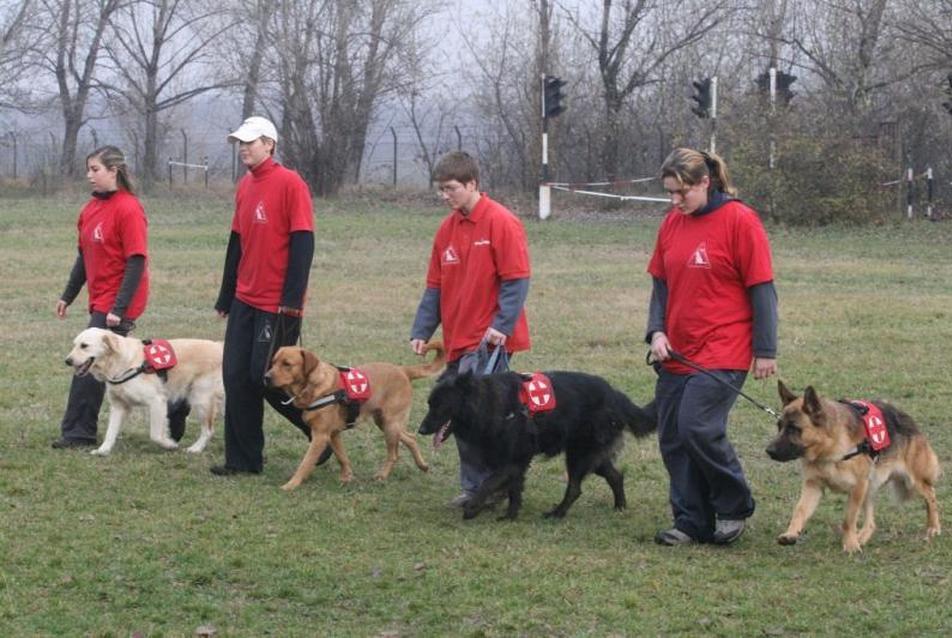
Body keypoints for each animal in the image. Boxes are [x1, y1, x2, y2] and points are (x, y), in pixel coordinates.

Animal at [65, 330, 225, 456]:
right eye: (74, 344)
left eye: (84, 345)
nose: (67, 361)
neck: (123, 364)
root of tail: (220, 346)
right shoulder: (118, 406)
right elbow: (110, 432)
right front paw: (103, 450)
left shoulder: (157, 401)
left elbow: (155, 435)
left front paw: (169, 444)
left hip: (201, 400)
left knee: (208, 430)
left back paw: (196, 448)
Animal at [420, 372, 660, 524]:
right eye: (429, 404)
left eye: (439, 405)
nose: (421, 430)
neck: (491, 404)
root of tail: (615, 395)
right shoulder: (514, 463)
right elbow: (514, 490)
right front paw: (510, 516)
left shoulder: (513, 460)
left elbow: (488, 483)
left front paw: (472, 508)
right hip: (592, 456)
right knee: (615, 475)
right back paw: (619, 506)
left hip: (579, 455)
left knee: (575, 488)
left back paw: (557, 513)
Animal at [768, 382, 936, 552]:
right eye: (779, 426)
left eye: (794, 428)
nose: (769, 451)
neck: (829, 449)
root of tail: (905, 416)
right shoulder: (813, 486)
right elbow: (800, 510)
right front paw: (790, 534)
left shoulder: (857, 487)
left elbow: (848, 519)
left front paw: (850, 545)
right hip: (870, 486)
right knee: (871, 523)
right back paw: (861, 537)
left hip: (912, 481)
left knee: (931, 495)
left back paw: (933, 528)